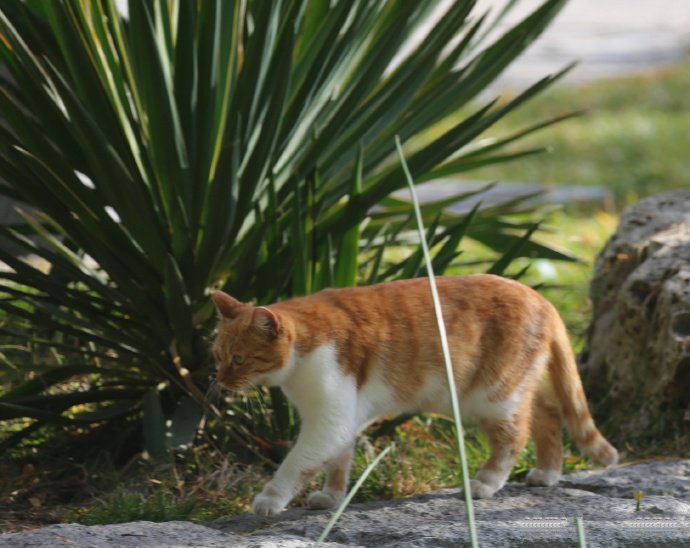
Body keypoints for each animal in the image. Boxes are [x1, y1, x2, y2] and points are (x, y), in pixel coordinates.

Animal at [208, 276, 612, 516]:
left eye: (239, 359)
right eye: (217, 356)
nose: (220, 380)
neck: (304, 346)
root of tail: (542, 299)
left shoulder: (328, 420)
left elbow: (298, 462)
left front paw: (270, 499)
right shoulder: (343, 417)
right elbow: (338, 461)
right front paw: (332, 497)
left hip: (493, 395)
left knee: (515, 437)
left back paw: (485, 483)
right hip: (515, 389)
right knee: (549, 413)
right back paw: (548, 473)